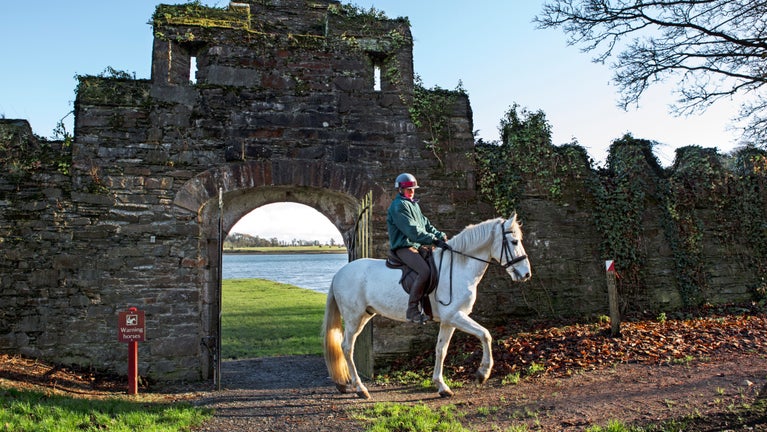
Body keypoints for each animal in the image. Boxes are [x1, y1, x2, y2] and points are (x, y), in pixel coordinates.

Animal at [322, 213, 531, 399]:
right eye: (514, 242)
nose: (526, 274)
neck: (459, 267)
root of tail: (339, 273)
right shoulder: (455, 316)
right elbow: (485, 334)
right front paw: (483, 373)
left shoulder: (449, 321)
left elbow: (441, 350)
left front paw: (442, 386)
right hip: (354, 318)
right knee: (347, 347)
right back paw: (360, 388)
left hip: (365, 315)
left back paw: (344, 384)